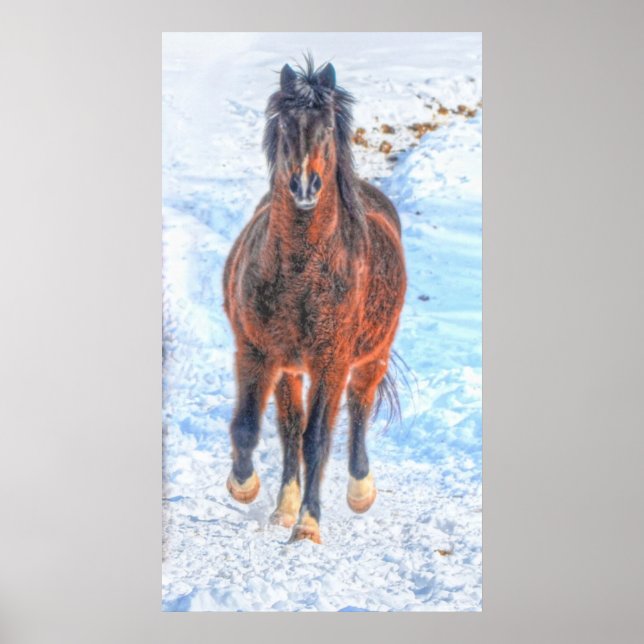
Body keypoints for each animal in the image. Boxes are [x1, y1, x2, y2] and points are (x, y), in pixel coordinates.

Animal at [222, 58, 406, 544]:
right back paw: (283, 507)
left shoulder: (330, 360)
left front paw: (309, 525)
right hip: (290, 368)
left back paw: (360, 491)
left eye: (325, 128)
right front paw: (245, 486)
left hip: (370, 357)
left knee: (358, 411)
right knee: (289, 427)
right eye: (286, 125)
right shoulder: (256, 351)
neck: (301, 273)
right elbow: (249, 426)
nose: (305, 186)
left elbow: (317, 438)